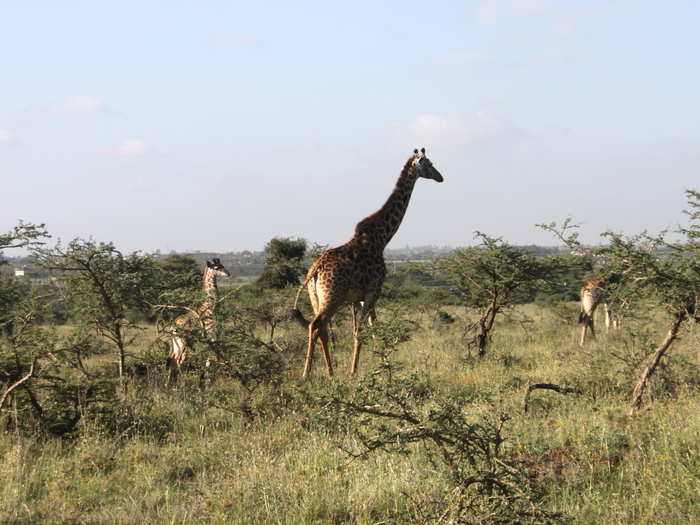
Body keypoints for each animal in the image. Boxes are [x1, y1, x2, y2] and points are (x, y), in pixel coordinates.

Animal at [292, 147, 442, 376]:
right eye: (429, 164)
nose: (441, 177)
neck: (382, 238)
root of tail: (314, 270)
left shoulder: (362, 297)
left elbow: (373, 329)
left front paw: (384, 367)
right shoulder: (373, 291)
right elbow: (362, 332)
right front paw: (356, 372)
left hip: (315, 298)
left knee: (319, 327)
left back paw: (330, 373)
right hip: (333, 297)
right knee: (316, 325)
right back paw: (307, 375)